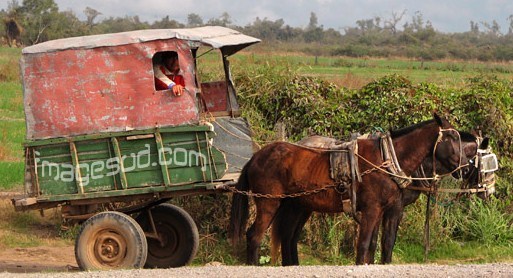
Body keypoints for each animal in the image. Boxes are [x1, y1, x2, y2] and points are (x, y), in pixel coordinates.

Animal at [230, 113, 462, 264]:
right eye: (451, 138)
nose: (464, 166)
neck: (385, 159)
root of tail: (255, 157)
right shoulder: (372, 210)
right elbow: (364, 245)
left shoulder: (381, 211)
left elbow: (375, 246)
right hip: (269, 202)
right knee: (254, 236)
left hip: (297, 205)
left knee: (288, 238)